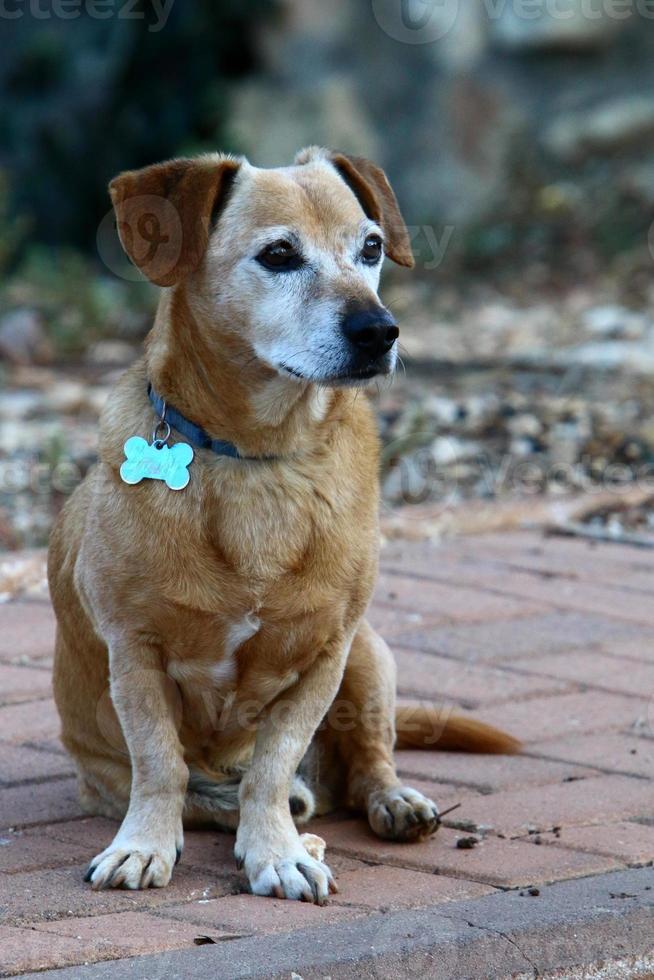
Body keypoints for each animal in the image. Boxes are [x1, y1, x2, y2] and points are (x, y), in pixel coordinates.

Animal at [48, 149, 516, 908]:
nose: (379, 330)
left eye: (371, 248)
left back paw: (389, 802)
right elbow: (161, 764)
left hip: (370, 656)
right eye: (278, 255)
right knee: (215, 788)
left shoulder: (326, 656)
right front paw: (145, 844)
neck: (261, 456)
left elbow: (272, 764)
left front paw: (277, 851)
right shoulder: (135, 652)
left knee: (368, 760)